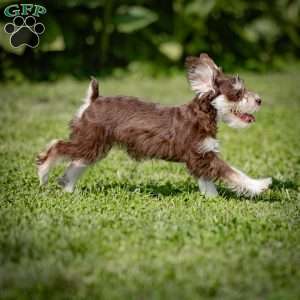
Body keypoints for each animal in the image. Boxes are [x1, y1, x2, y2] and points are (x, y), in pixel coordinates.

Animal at [37, 53, 272, 197]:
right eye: (237, 93)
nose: (260, 100)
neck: (202, 115)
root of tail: (92, 100)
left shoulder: (202, 157)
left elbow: (208, 181)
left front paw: (212, 198)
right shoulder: (202, 155)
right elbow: (232, 171)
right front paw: (260, 185)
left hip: (95, 146)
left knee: (76, 163)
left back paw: (68, 188)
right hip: (90, 141)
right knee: (57, 146)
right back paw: (43, 173)